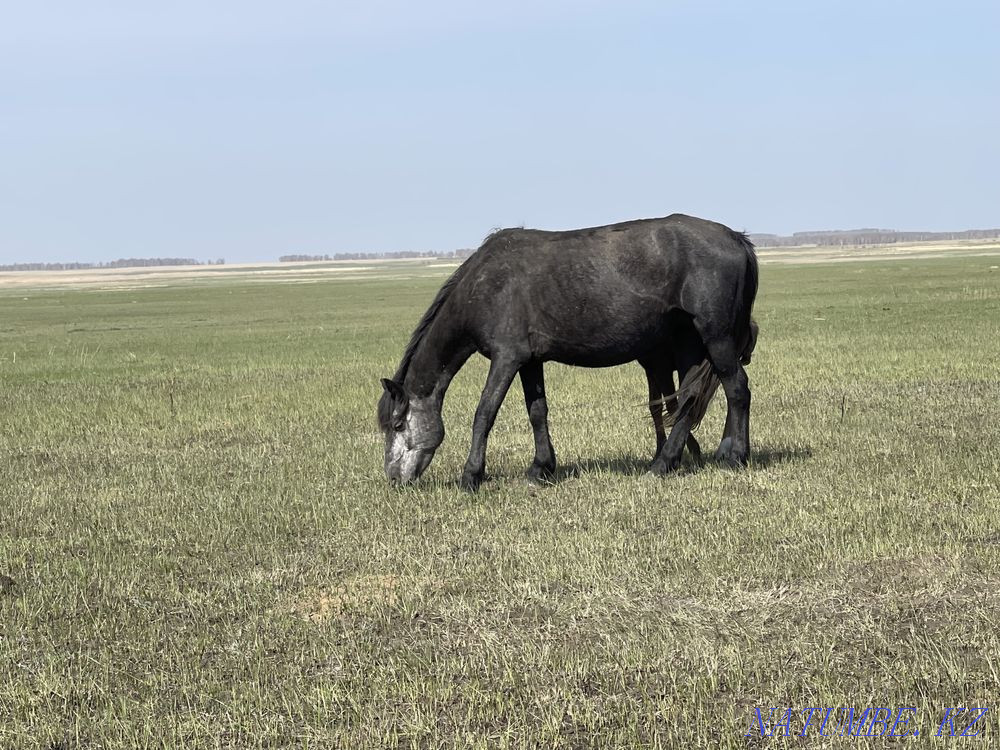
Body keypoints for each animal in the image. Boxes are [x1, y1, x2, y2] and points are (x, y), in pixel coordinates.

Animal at [377, 213, 759, 490]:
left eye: (398, 424)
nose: (395, 479)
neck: (485, 286)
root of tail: (736, 238)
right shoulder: (529, 361)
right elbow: (537, 412)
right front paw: (541, 468)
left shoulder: (506, 358)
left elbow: (484, 413)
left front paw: (471, 475)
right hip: (690, 344)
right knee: (690, 398)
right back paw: (668, 461)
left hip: (716, 337)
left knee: (737, 389)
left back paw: (733, 457)